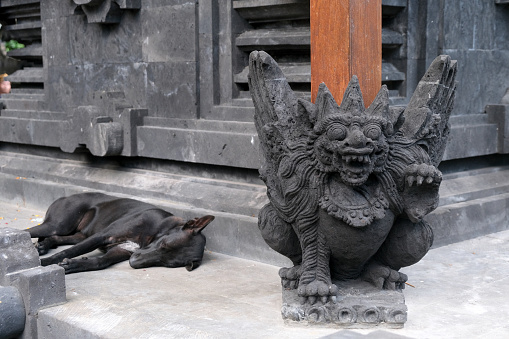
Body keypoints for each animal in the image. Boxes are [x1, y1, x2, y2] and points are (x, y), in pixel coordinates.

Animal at [27, 193, 214, 274]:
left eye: (166, 263)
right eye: (163, 244)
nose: (133, 263)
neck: (158, 227)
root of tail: (65, 197)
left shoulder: (121, 250)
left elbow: (100, 262)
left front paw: (74, 265)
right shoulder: (101, 236)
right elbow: (68, 252)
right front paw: (43, 264)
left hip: (79, 235)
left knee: (55, 238)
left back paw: (43, 246)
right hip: (56, 225)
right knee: (27, 232)